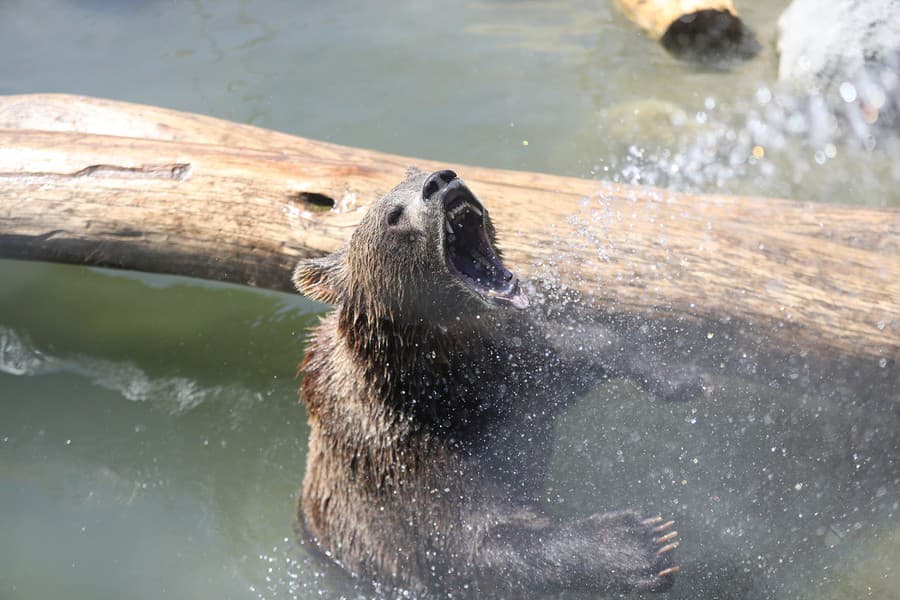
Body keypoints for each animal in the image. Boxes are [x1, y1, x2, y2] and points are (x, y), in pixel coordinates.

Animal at [294, 169, 684, 596]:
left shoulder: (504, 378)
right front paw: (640, 542)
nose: (440, 180)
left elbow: (568, 358)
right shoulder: (402, 459)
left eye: (415, 174)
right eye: (393, 216)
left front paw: (681, 371)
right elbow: (477, 543)